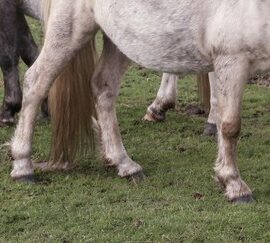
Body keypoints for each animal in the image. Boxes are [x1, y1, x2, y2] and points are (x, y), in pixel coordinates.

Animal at [10, 0, 270, 202]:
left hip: (121, 39)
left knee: (103, 89)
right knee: (36, 82)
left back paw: (125, 164)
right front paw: (234, 185)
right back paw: (22, 166)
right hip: (69, 30)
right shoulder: (231, 60)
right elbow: (230, 126)